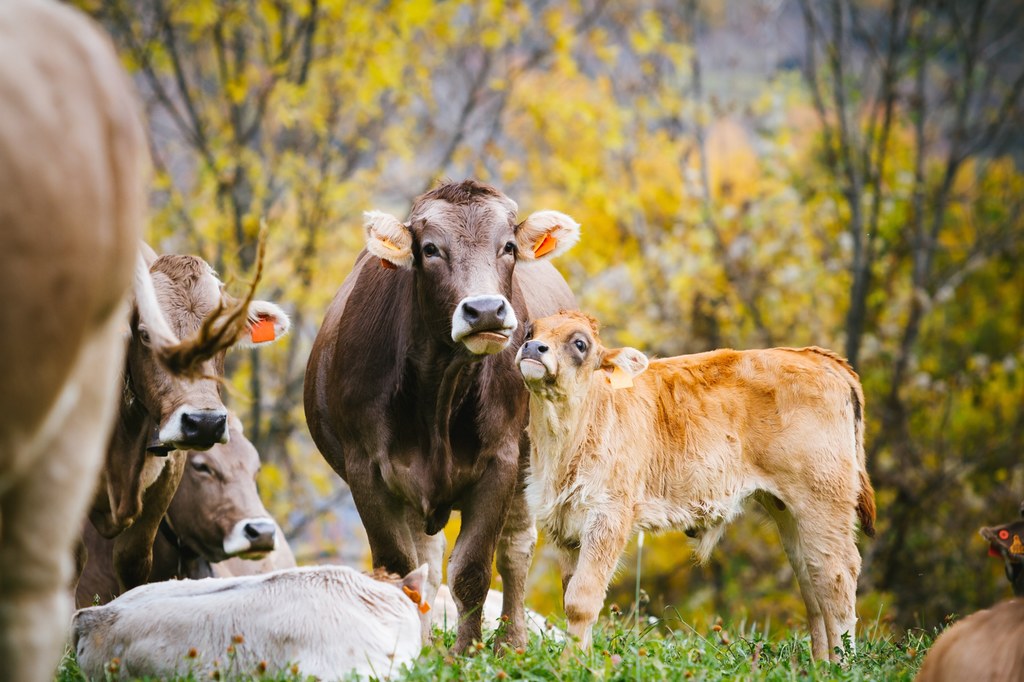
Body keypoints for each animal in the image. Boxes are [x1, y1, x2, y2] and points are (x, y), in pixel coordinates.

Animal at [303, 176, 581, 647]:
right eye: (430, 248)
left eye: (508, 246)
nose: (485, 310)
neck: (439, 393)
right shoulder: (366, 468)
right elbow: (400, 567)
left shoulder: (501, 462)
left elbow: (472, 569)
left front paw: (468, 651)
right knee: (428, 561)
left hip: (531, 467)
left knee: (515, 549)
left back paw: (512, 642)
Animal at [516, 311, 876, 659]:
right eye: (529, 332)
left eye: (580, 343)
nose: (533, 348)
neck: (563, 446)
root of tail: (817, 357)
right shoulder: (564, 526)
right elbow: (570, 594)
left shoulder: (608, 517)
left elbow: (582, 601)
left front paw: (571, 664)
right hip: (788, 509)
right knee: (810, 578)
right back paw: (820, 664)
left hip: (823, 499)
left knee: (836, 575)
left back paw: (841, 664)